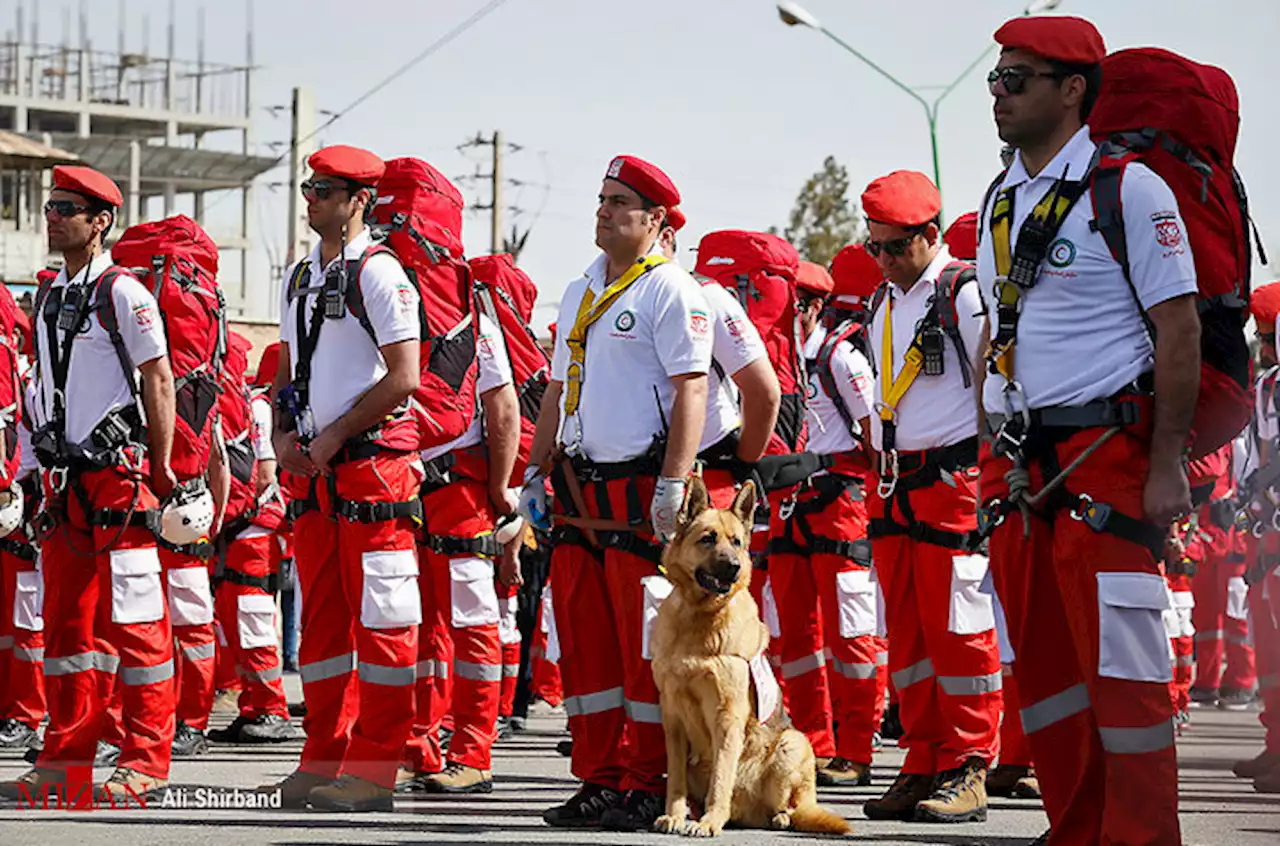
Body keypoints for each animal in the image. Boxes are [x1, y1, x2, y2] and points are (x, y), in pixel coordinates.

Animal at [650, 478, 849, 834]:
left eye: (737, 542)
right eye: (707, 538)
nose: (734, 567)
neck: (701, 618)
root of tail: (749, 813)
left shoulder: (727, 716)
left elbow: (720, 778)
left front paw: (709, 822)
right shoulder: (671, 717)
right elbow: (675, 781)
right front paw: (674, 815)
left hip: (792, 744)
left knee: (795, 806)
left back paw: (779, 816)